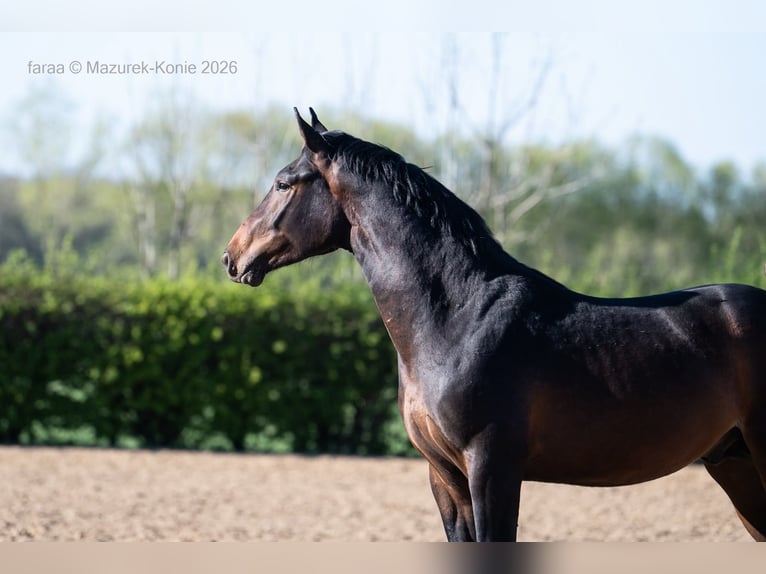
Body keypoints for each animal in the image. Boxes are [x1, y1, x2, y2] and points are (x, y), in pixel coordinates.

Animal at [222, 108, 766, 542]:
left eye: (283, 182)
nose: (232, 256)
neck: (458, 320)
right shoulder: (445, 478)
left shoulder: (492, 470)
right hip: (735, 464)